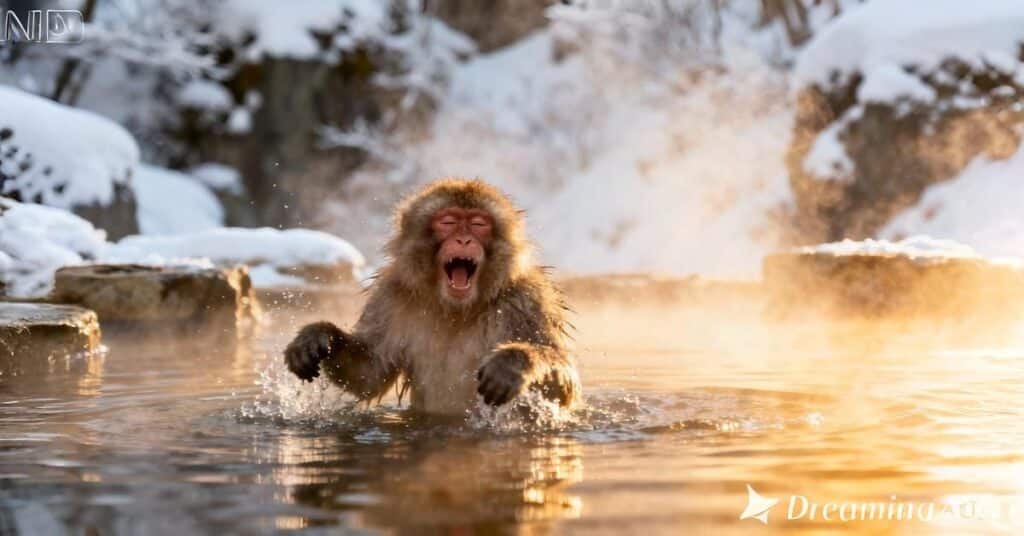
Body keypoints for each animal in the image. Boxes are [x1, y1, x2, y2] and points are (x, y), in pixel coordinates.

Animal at [284, 178, 581, 416]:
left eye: (478, 224)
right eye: (448, 222)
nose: (463, 240)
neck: (456, 310)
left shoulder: (528, 300)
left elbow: (564, 387)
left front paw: (511, 365)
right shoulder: (390, 296)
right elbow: (370, 372)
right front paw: (319, 336)